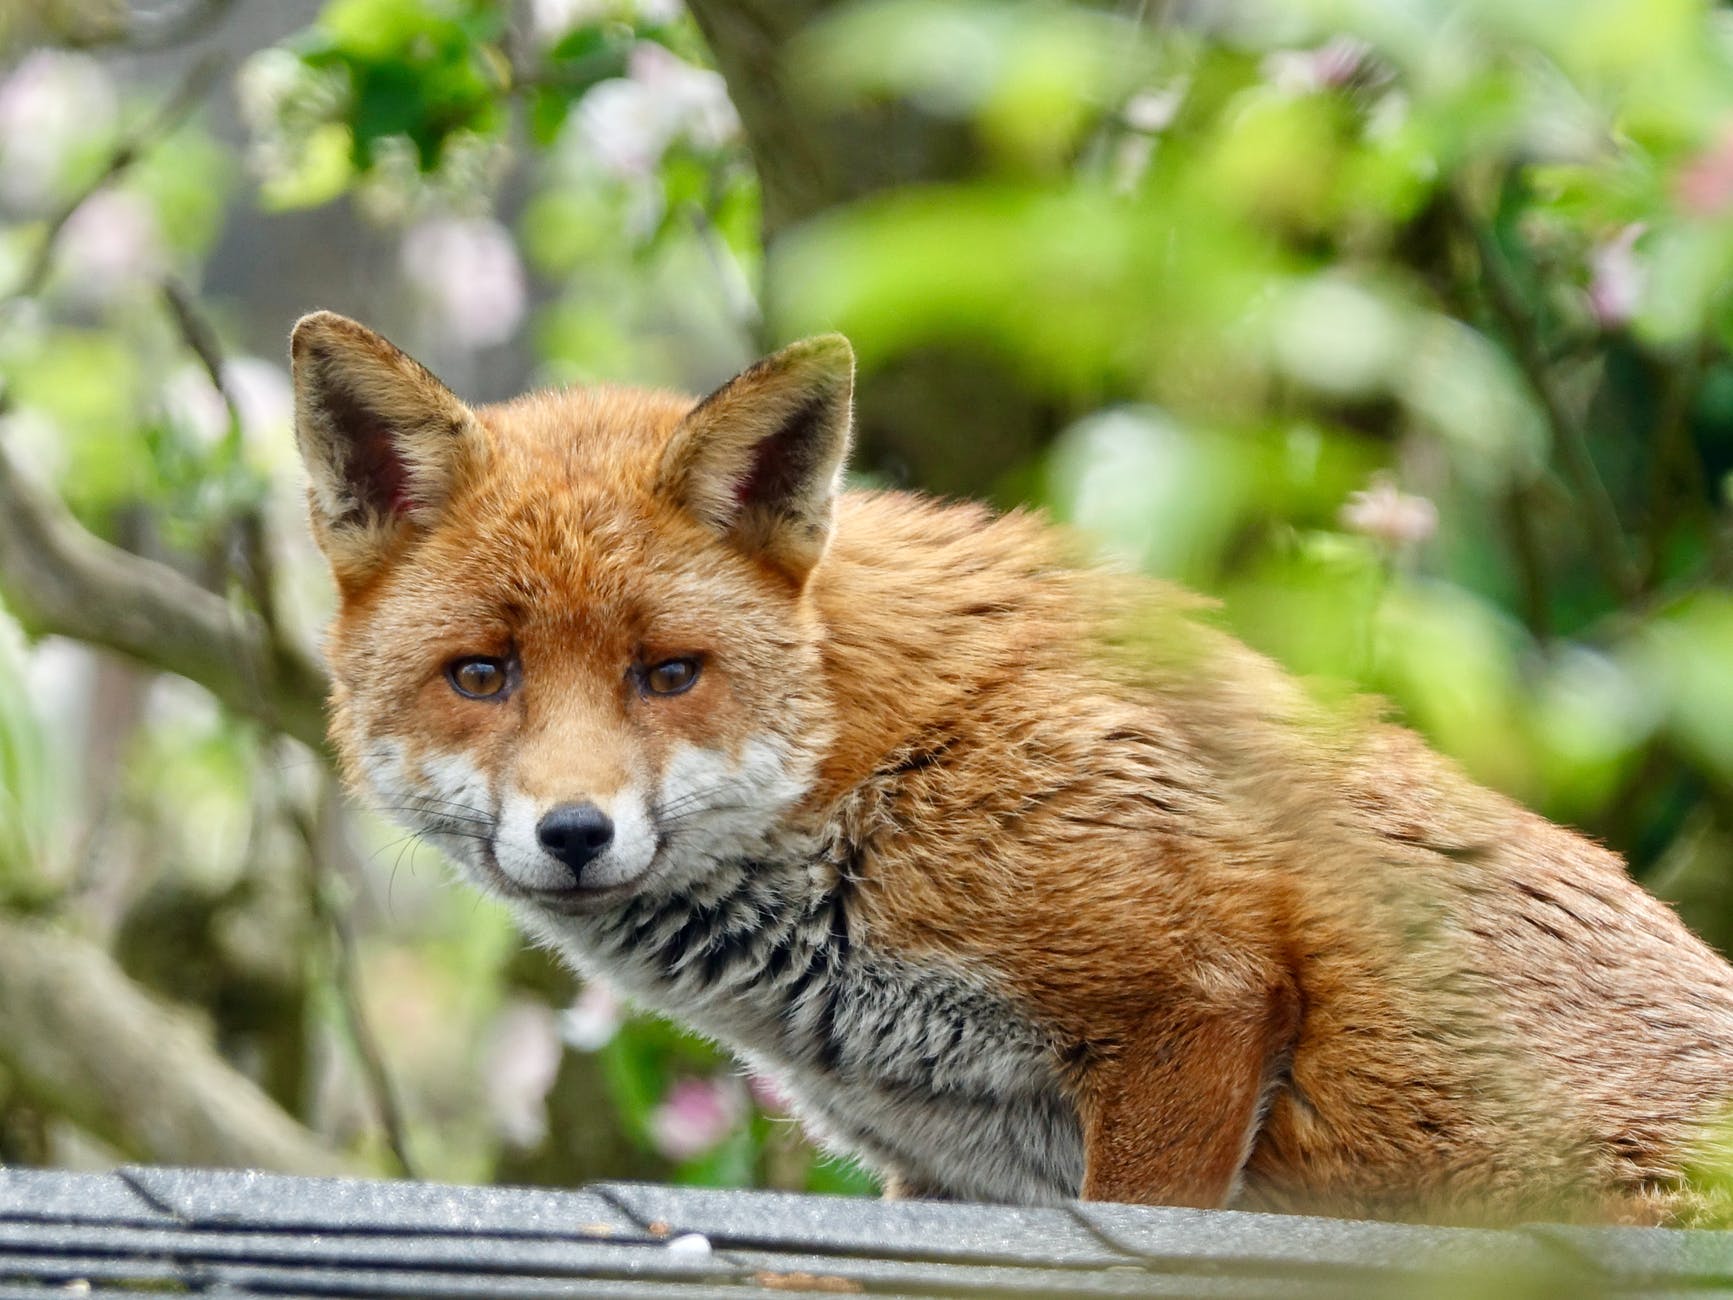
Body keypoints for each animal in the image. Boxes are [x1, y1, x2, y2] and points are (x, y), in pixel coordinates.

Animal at [289, 308, 1733, 1225]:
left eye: (668, 672)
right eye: (482, 676)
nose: (575, 833)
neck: (877, 777)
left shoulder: (1195, 1000)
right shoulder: (948, 1179)